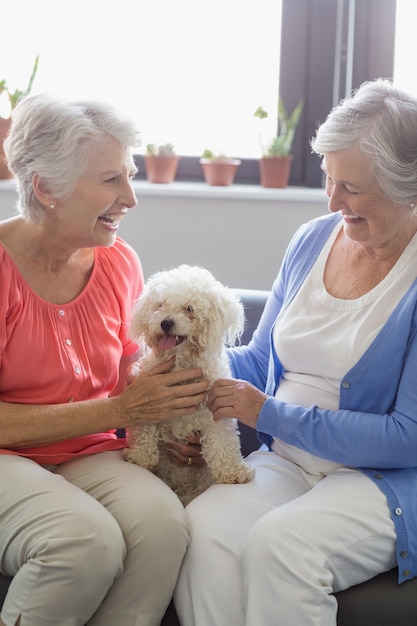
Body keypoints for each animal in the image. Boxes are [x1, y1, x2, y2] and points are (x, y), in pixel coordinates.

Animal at [122, 262, 255, 502]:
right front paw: (139, 457)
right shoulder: (148, 402)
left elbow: (223, 443)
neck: (182, 362)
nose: (165, 322)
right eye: (160, 305)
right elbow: (143, 433)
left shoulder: (216, 410)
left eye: (189, 309)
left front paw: (233, 472)